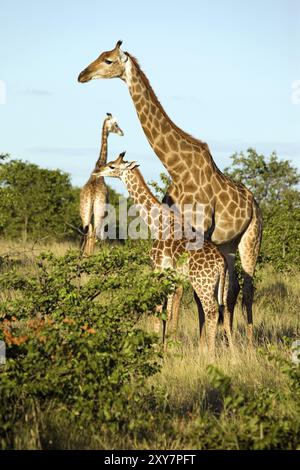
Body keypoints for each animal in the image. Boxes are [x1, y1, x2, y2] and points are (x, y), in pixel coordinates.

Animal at [79, 112, 123, 255]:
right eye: (116, 124)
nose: (122, 133)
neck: (98, 166)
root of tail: (92, 196)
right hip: (99, 213)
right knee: (94, 235)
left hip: (85, 213)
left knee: (86, 234)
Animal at [92, 151, 233, 356]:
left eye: (112, 166)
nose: (96, 171)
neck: (157, 223)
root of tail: (222, 263)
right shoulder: (172, 276)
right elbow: (169, 309)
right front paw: (166, 347)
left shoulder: (158, 268)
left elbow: (159, 307)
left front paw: (155, 346)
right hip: (222, 284)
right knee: (226, 310)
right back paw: (234, 354)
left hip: (202, 284)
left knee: (212, 311)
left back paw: (210, 354)